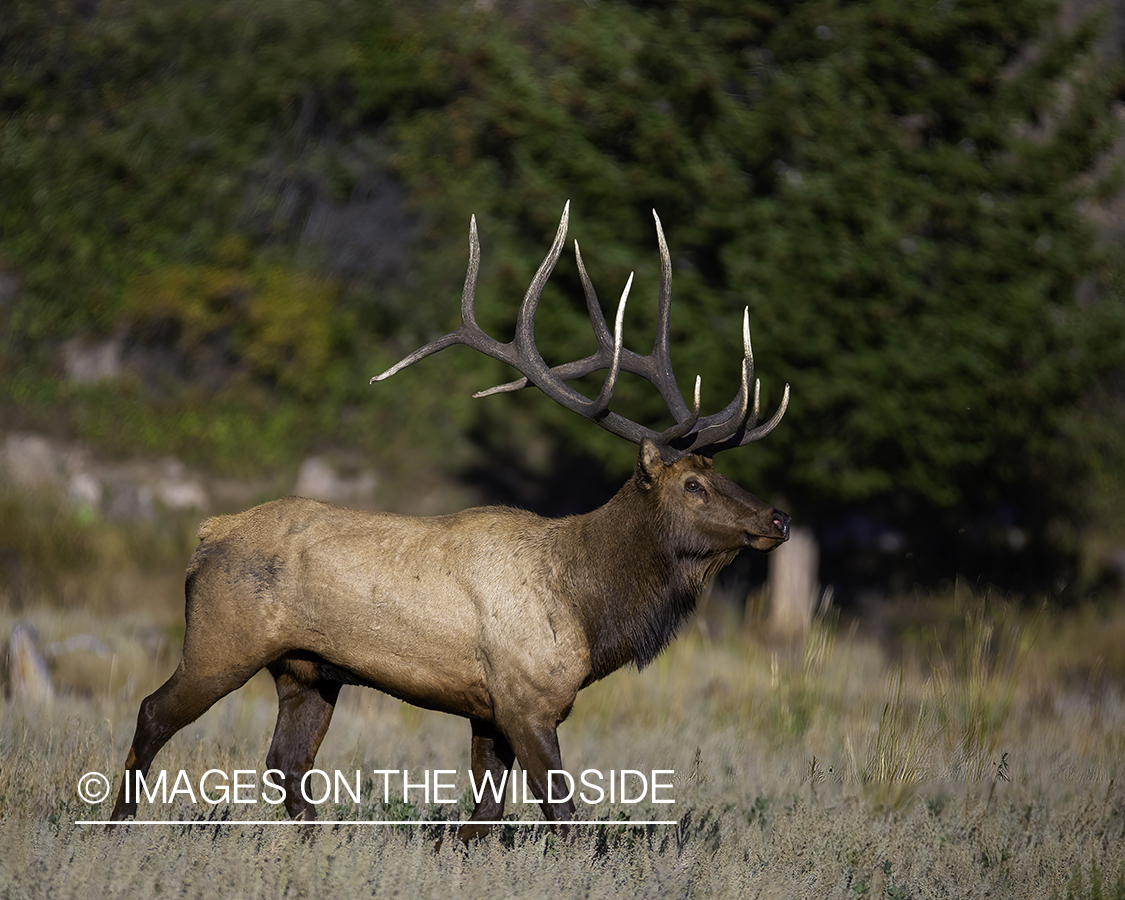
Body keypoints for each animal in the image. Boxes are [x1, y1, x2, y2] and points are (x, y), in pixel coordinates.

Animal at [107, 200, 792, 841]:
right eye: (694, 484)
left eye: (719, 472)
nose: (778, 517)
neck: (587, 609)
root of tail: (208, 533)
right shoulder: (524, 702)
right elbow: (563, 816)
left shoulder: (487, 711)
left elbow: (479, 821)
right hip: (222, 640)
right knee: (152, 712)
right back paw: (117, 828)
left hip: (306, 672)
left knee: (286, 763)